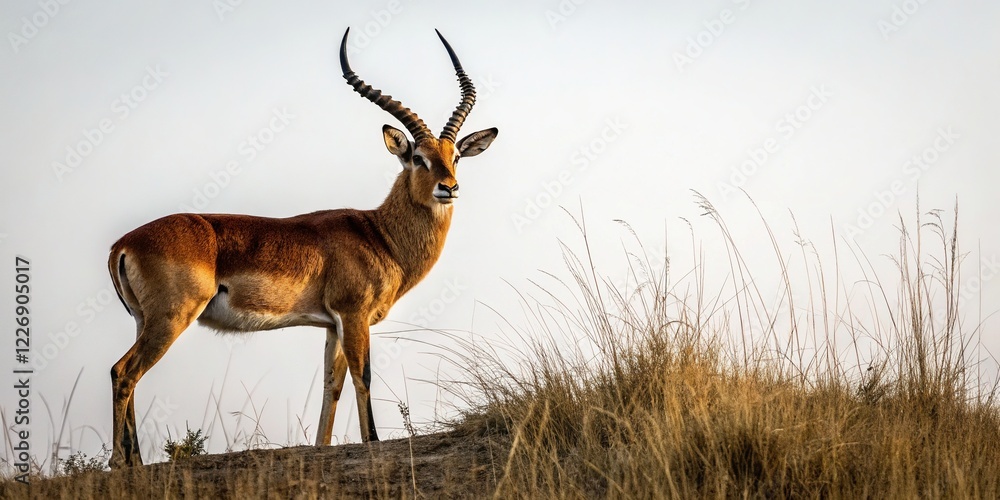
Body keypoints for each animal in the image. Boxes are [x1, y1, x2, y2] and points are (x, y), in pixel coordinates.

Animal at [106, 28, 497, 468]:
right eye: (417, 157)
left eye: (456, 156)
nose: (449, 187)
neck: (378, 235)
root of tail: (123, 244)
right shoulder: (353, 315)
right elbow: (363, 375)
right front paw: (373, 442)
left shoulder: (331, 324)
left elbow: (332, 384)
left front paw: (322, 446)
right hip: (171, 318)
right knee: (123, 371)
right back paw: (121, 462)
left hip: (145, 320)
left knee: (130, 376)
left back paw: (135, 461)